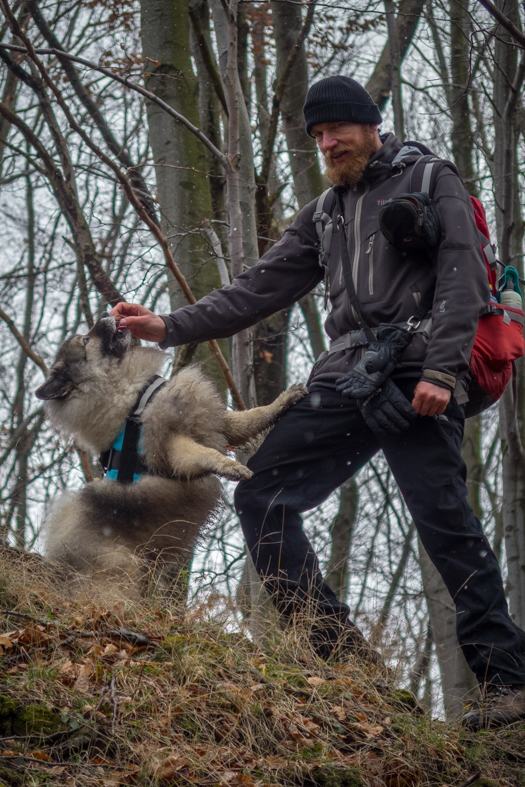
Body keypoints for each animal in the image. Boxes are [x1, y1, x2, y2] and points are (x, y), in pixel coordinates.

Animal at [35, 314, 308, 596]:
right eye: (86, 340)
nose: (106, 315)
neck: (129, 393)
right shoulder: (171, 444)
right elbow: (205, 453)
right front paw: (230, 467)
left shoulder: (212, 422)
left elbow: (252, 416)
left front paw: (283, 402)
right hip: (121, 569)